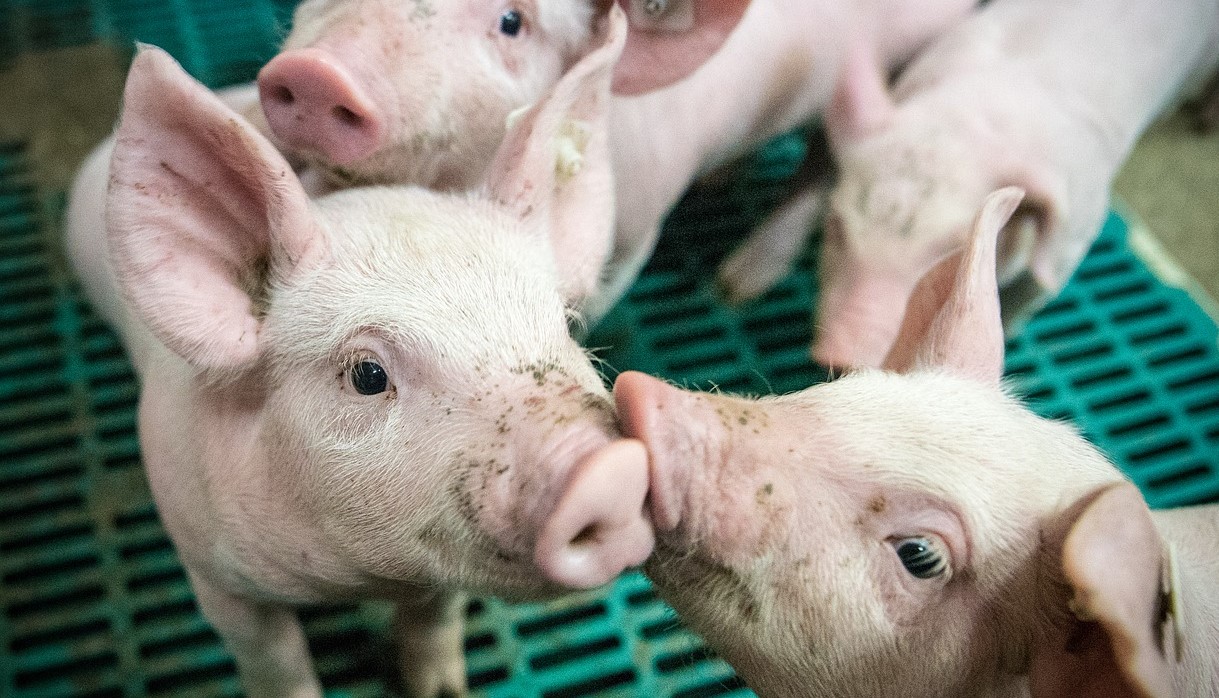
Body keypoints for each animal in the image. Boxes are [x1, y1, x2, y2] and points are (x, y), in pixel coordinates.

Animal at [61, 9, 661, 696]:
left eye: (565, 324)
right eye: (368, 374)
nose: (610, 468)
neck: (350, 579)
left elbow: (433, 622)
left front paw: (444, 689)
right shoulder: (216, 578)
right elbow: (274, 659)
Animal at [804, 0, 1219, 368]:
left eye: (953, 248)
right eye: (836, 225)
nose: (837, 354)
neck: (971, 119)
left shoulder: (1078, 231)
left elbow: (1037, 286)